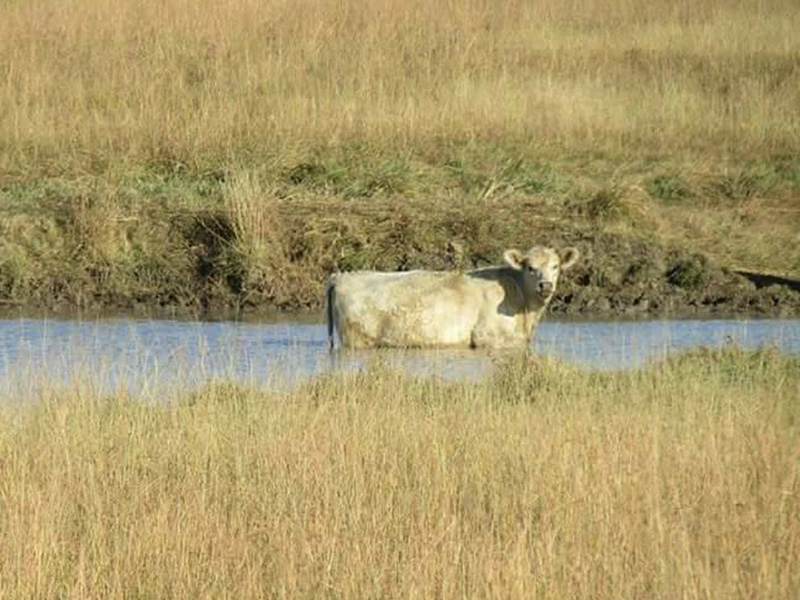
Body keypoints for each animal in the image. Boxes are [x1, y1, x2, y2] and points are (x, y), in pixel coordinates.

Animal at [326, 245, 580, 350]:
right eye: (530, 267)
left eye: (556, 266)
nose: (545, 285)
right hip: (357, 338)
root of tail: (342, 275)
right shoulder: (488, 338)